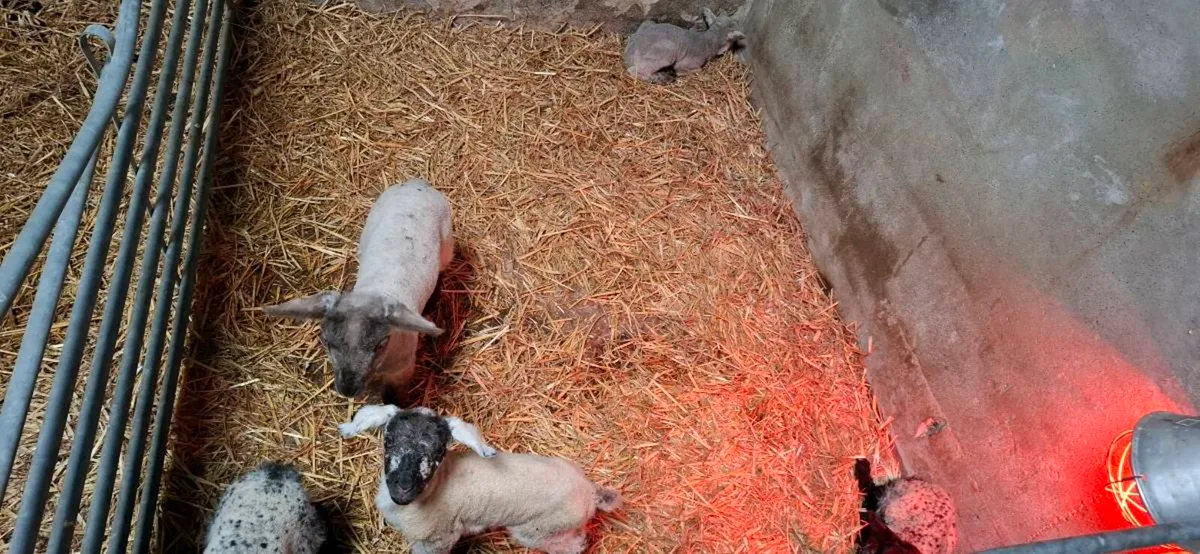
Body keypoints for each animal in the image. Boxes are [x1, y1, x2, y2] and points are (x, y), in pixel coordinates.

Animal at [262, 179, 453, 402]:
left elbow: (394, 398)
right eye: (326, 341)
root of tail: (417, 182)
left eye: (380, 344)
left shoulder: (402, 370)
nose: (348, 389)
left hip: (447, 242)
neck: (376, 288)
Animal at [338, 405, 622, 554]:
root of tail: (590, 491)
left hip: (541, 529)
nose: (403, 487)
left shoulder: (438, 540)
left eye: (439, 451)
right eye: (388, 441)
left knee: (574, 544)